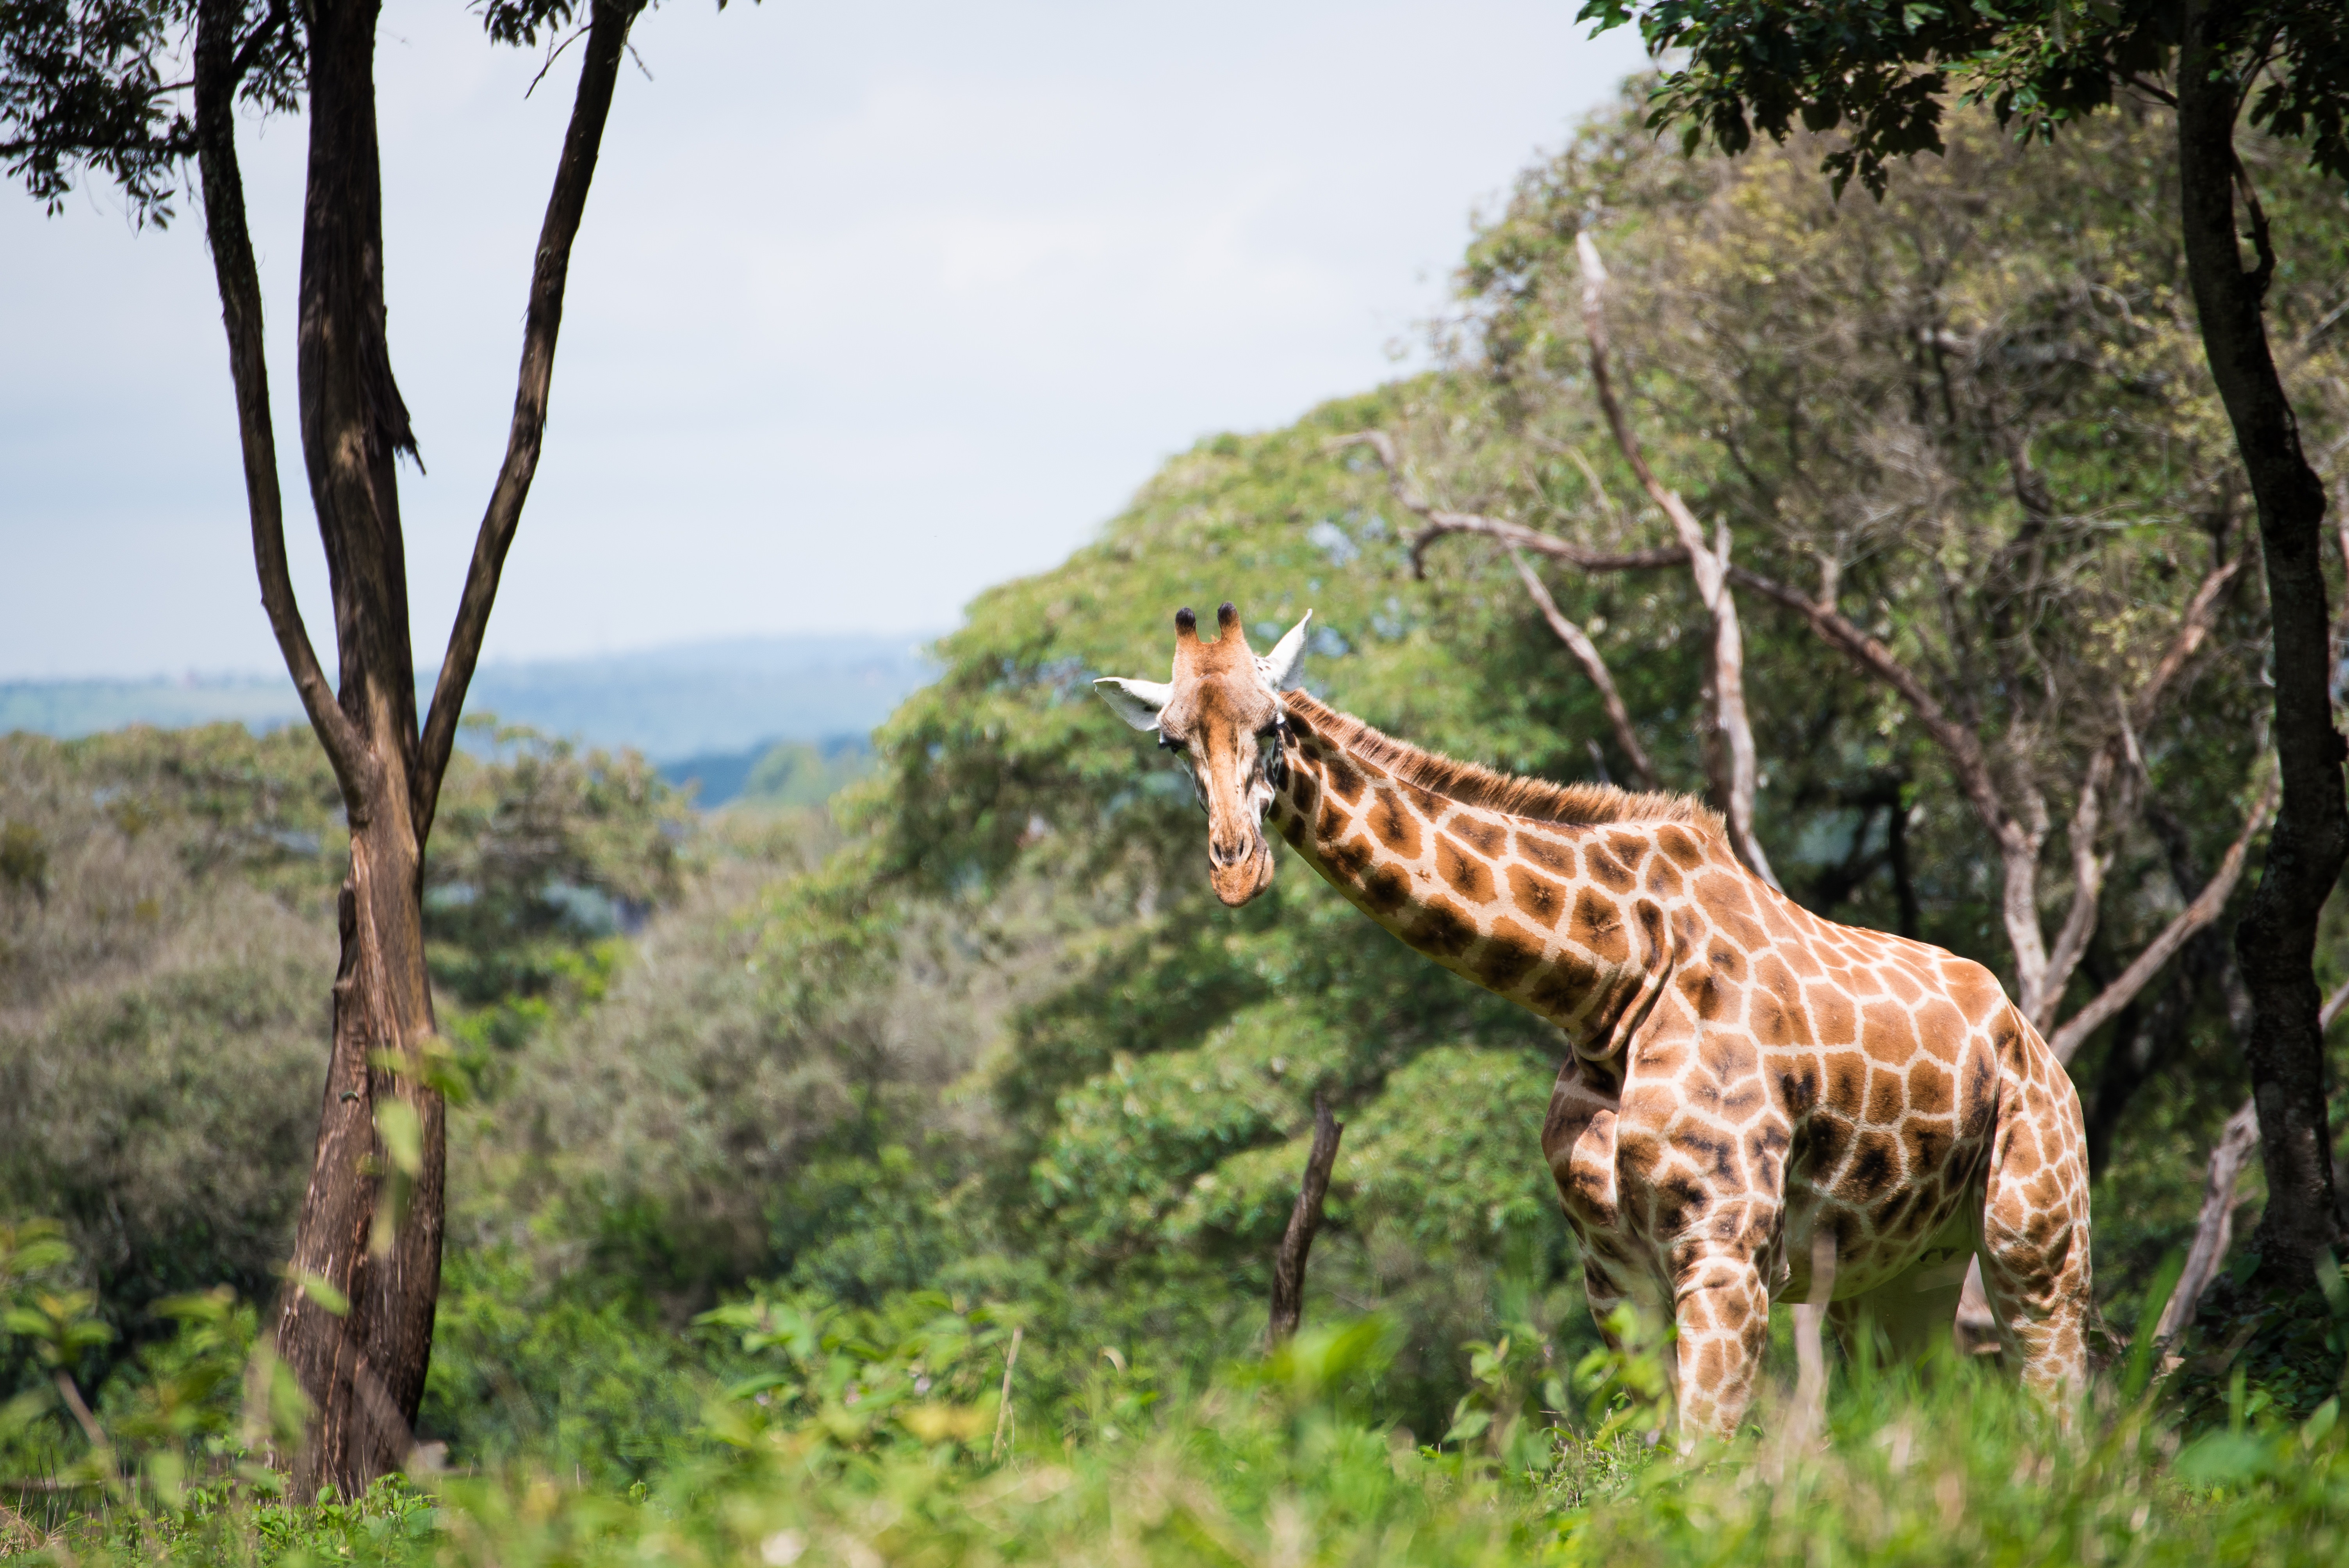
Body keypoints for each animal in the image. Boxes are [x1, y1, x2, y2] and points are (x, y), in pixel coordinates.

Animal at [1094, 606, 2095, 1436]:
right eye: (1168, 740)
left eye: (1273, 725)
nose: (1236, 867)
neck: (1606, 987)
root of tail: (2035, 1043)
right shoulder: (1612, 1272)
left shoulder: (1726, 1250)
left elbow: (1703, 1463)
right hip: (1900, 1273)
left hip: (2036, 1241)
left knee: (2057, 1420)